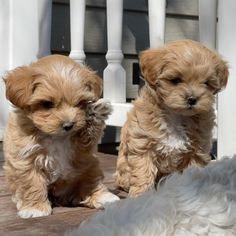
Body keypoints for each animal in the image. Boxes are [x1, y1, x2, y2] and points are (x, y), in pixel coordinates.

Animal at [2, 54, 119, 218]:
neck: (55, 136)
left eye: (80, 103)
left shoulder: (81, 147)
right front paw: (35, 208)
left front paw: (96, 112)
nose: (69, 125)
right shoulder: (26, 157)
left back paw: (103, 197)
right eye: (47, 104)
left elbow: (88, 136)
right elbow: (32, 182)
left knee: (91, 182)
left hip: (90, 167)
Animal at [115, 40, 229, 197]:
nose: (192, 99)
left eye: (206, 83)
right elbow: (143, 172)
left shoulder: (197, 150)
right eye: (175, 80)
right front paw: (141, 195)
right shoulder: (143, 144)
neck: (177, 115)